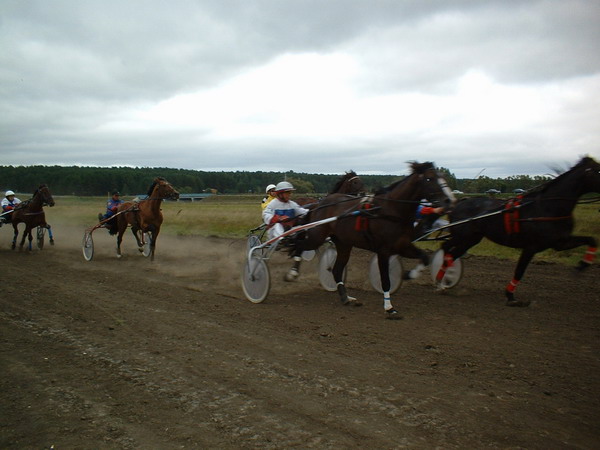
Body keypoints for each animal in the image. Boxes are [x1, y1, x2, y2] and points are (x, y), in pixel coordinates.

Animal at [290, 163, 454, 318]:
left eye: (443, 177)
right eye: (429, 178)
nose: (448, 200)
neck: (391, 211)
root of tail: (319, 204)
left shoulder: (403, 246)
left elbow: (425, 258)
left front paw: (410, 275)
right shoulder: (383, 250)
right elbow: (385, 279)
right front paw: (389, 307)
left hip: (344, 244)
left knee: (336, 269)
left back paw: (345, 297)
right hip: (317, 237)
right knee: (299, 245)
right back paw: (292, 272)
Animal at [436, 156, 600, 308]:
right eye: (598, 170)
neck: (547, 207)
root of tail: (459, 203)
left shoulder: (560, 242)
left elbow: (591, 240)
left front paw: (583, 264)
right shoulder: (531, 247)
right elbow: (519, 271)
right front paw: (510, 296)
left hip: (471, 239)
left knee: (449, 252)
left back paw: (443, 281)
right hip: (463, 236)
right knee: (447, 249)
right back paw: (439, 281)